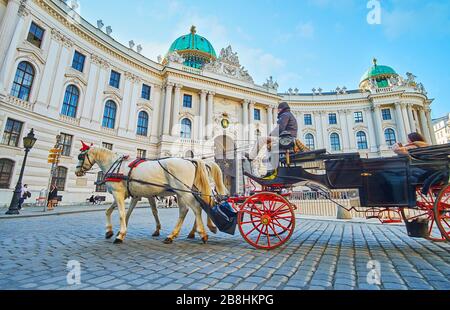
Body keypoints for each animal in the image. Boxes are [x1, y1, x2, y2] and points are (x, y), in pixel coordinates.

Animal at [74, 143, 213, 245]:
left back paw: (201, 234)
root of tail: (190, 161)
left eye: (81, 156)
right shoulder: (130, 195)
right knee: (186, 210)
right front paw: (111, 231)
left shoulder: (118, 193)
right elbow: (116, 212)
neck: (115, 166)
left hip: (183, 191)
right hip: (182, 193)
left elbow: (121, 213)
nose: (76, 172)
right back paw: (174, 235)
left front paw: (120, 235)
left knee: (195, 208)